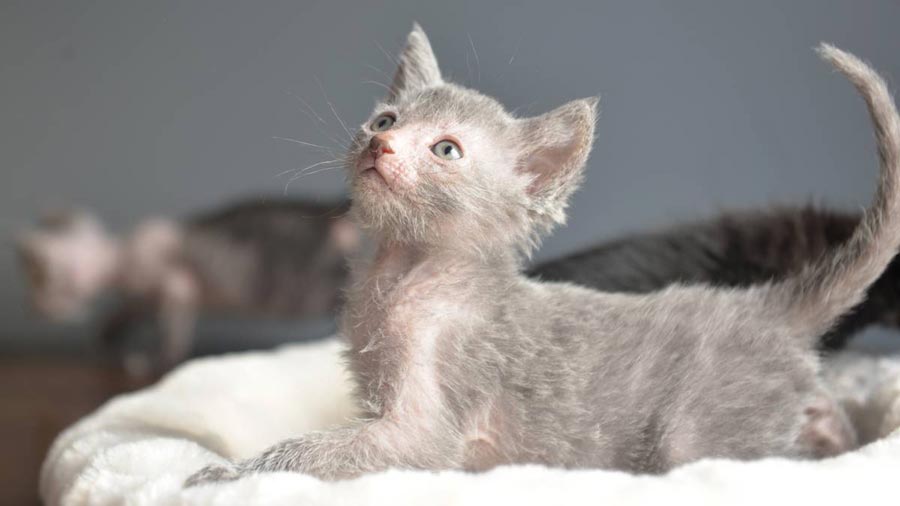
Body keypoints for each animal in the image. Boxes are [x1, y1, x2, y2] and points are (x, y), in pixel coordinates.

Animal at [17, 199, 356, 372]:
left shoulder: (178, 289)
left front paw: (157, 359)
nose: (35, 309)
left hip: (311, 289)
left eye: (39, 283)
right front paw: (107, 339)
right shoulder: (143, 298)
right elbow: (124, 312)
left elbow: (172, 332)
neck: (120, 254)